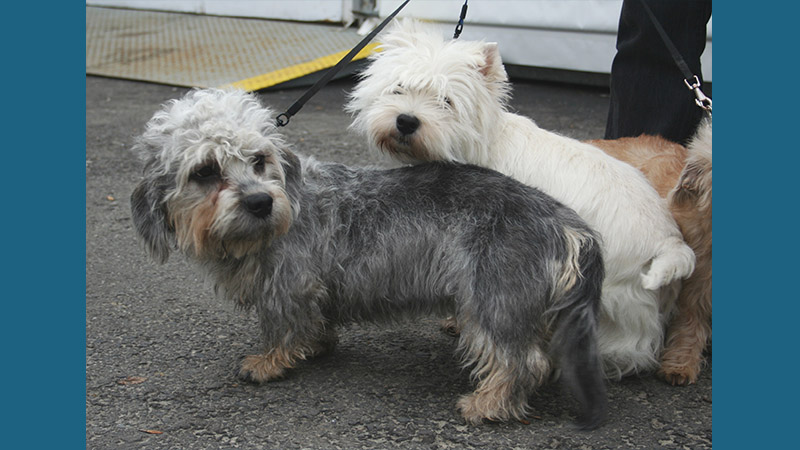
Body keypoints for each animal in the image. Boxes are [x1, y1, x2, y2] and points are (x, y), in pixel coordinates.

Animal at [130, 88, 608, 428]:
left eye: (259, 159)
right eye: (205, 171)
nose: (261, 202)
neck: (289, 204)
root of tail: (567, 222)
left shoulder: (287, 287)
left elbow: (282, 329)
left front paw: (268, 364)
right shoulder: (311, 290)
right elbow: (316, 323)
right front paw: (316, 347)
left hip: (494, 301)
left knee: (523, 360)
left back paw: (488, 403)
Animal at [346, 21, 696, 380]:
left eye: (446, 101)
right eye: (398, 88)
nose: (406, 121)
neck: (477, 148)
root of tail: (670, 241)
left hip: (609, 287)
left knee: (630, 347)